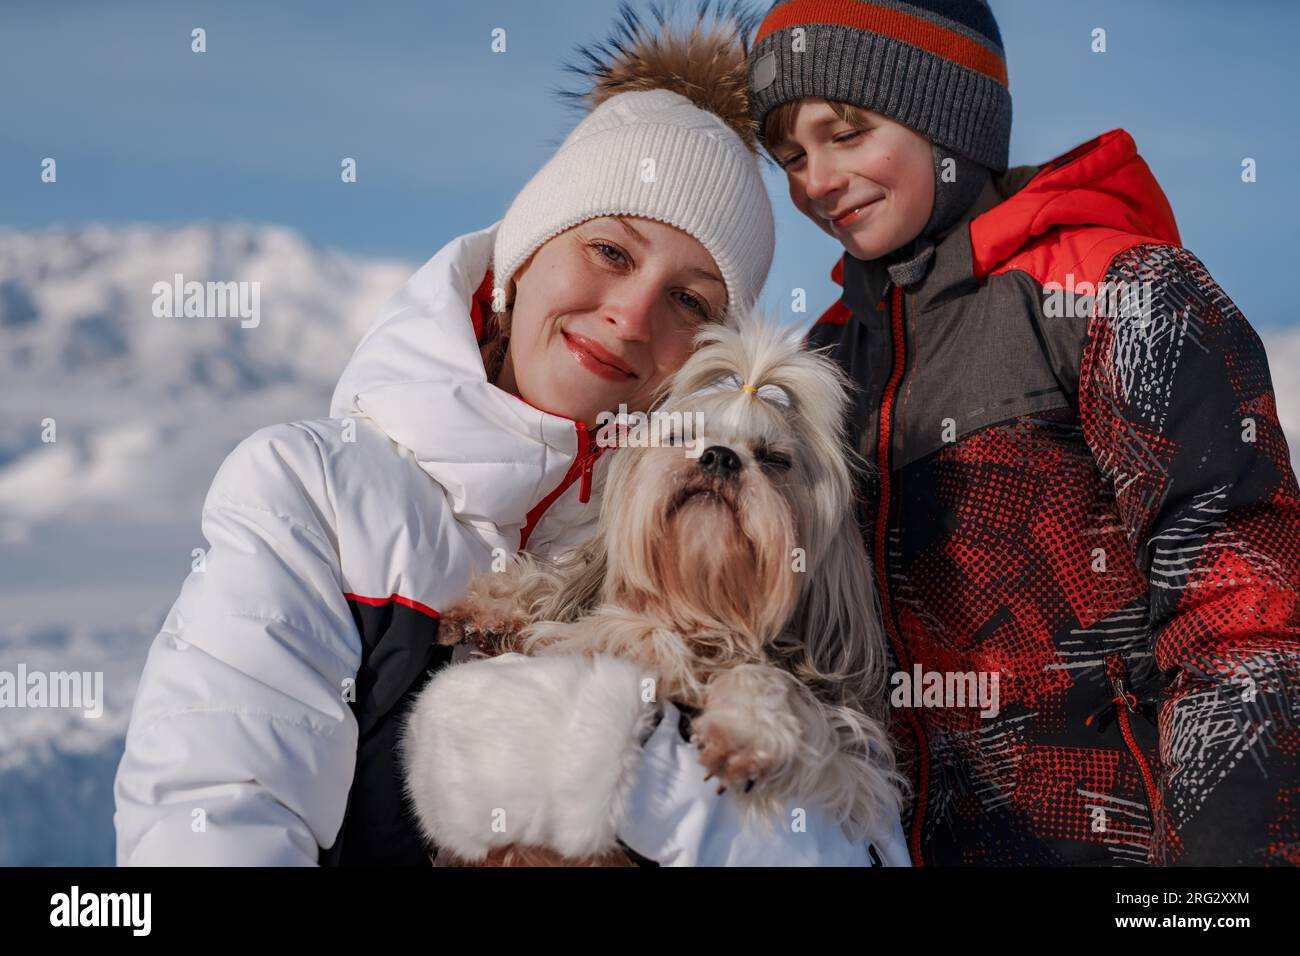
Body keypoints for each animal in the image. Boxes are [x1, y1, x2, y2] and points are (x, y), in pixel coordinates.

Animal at [400, 314, 909, 868]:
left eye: (776, 459)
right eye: (681, 434)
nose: (720, 457)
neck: (701, 610)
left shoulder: (853, 773)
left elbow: (790, 698)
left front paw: (746, 725)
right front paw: (493, 610)